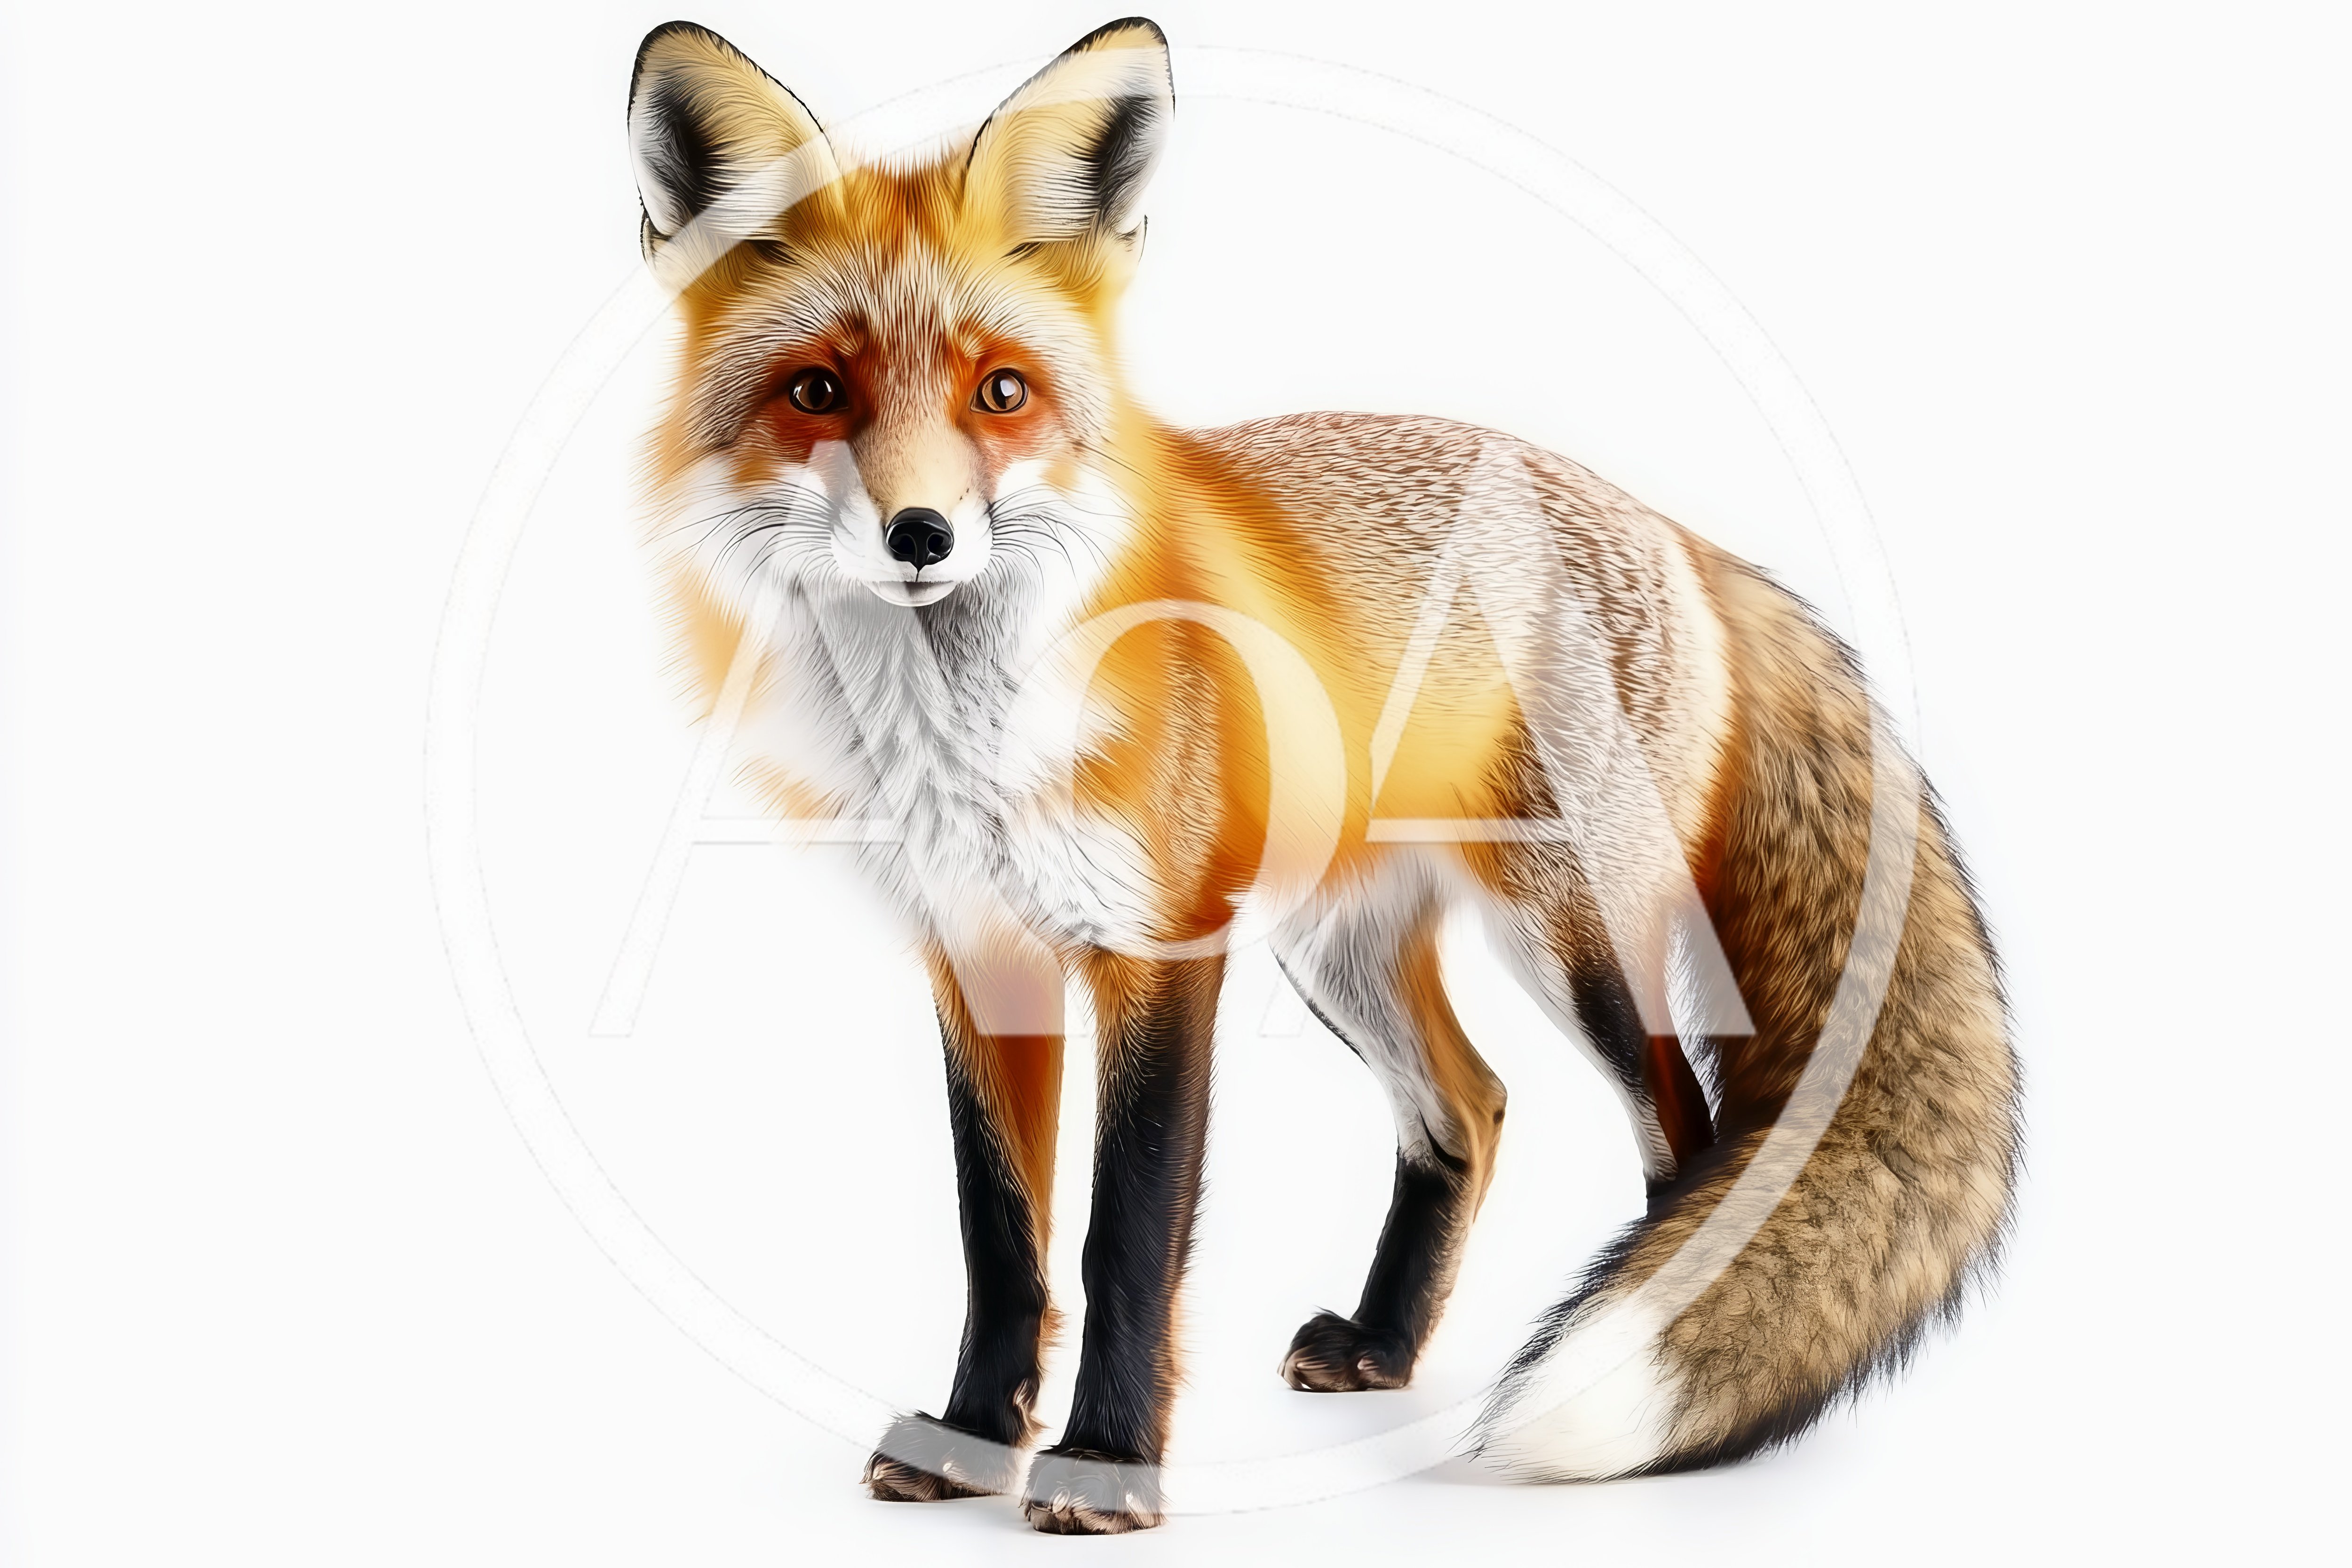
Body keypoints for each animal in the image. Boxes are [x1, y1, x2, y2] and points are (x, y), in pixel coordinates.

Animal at [623, 16, 2021, 1535]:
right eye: (818, 391)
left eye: (1002, 393)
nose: (922, 534)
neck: (967, 735)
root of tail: (1667, 527)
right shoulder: (977, 955)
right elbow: (1002, 1241)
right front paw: (972, 1437)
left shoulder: (1160, 952)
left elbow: (1122, 1238)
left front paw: (1101, 1467)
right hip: (1338, 949)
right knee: (1468, 1109)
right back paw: (1387, 1346)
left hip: (1574, 934)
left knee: (1682, 1135)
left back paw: (1626, 1343)